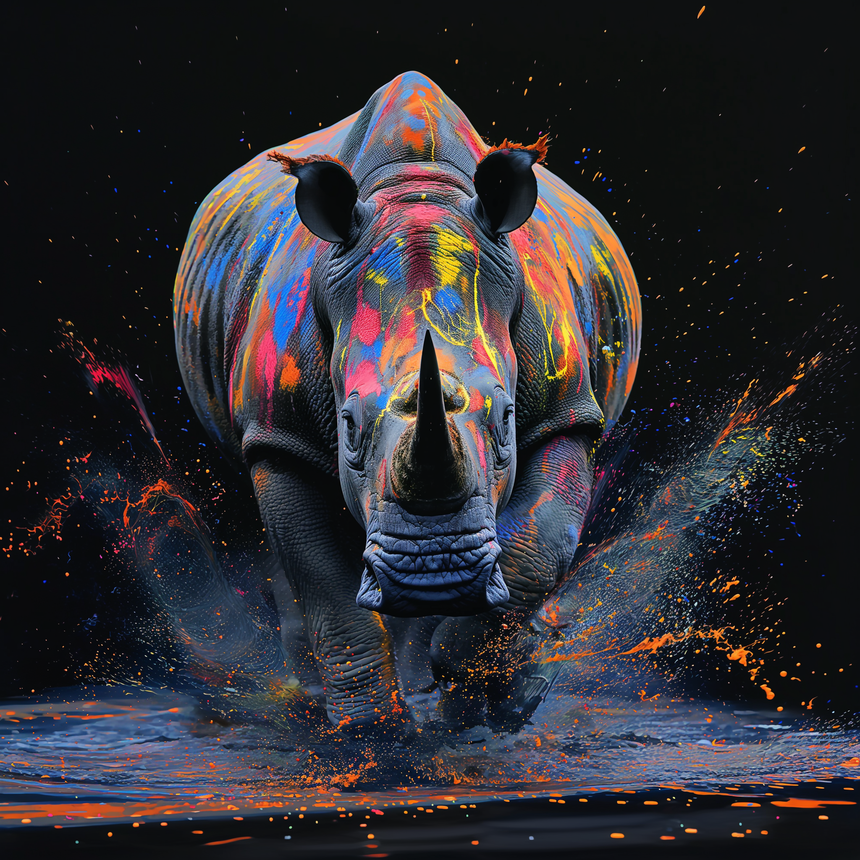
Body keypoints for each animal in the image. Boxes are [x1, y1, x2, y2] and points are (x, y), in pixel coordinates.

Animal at [174, 72, 640, 735]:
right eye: (346, 426)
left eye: (507, 419)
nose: (433, 572)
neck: (417, 193)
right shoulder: (279, 433)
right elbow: (325, 587)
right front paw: (367, 734)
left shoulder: (566, 411)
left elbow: (540, 541)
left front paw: (469, 678)